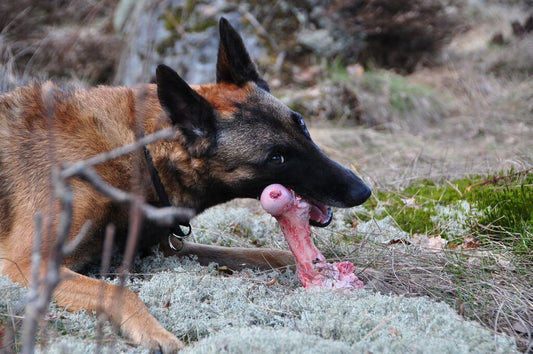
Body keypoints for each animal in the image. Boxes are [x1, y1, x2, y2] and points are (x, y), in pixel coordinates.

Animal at [0, 18, 370, 352]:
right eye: (276, 158)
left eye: (302, 125)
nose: (362, 191)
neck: (139, 153)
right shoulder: (25, 264)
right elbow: (123, 291)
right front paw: (156, 333)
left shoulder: (166, 247)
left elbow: (264, 253)